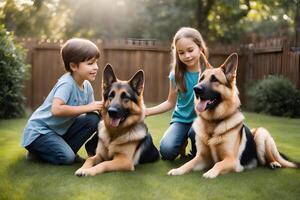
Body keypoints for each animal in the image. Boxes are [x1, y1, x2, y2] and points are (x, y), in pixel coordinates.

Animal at [169, 52, 298, 179]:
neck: (214, 121)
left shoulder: (231, 160)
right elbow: (189, 163)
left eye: (215, 80)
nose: (196, 89)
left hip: (261, 133)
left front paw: (210, 172)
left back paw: (273, 163)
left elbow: (218, 164)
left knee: (267, 158)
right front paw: (177, 170)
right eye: (201, 79)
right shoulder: (202, 157)